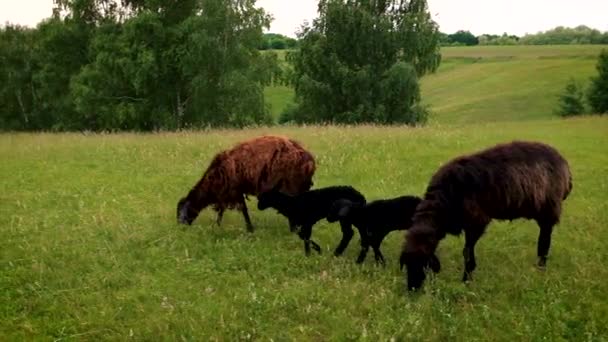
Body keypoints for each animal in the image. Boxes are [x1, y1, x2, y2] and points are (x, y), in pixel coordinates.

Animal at [176, 135, 316, 231]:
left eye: (181, 212)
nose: (181, 227)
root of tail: (309, 160)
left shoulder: (233, 190)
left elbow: (241, 210)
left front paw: (249, 228)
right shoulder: (231, 192)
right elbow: (224, 210)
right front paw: (218, 226)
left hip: (292, 184)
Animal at [402, 140, 572, 290]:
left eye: (423, 264)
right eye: (406, 265)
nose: (412, 289)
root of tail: (564, 164)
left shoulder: (476, 221)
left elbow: (467, 253)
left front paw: (466, 280)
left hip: (549, 209)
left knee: (544, 242)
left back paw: (541, 269)